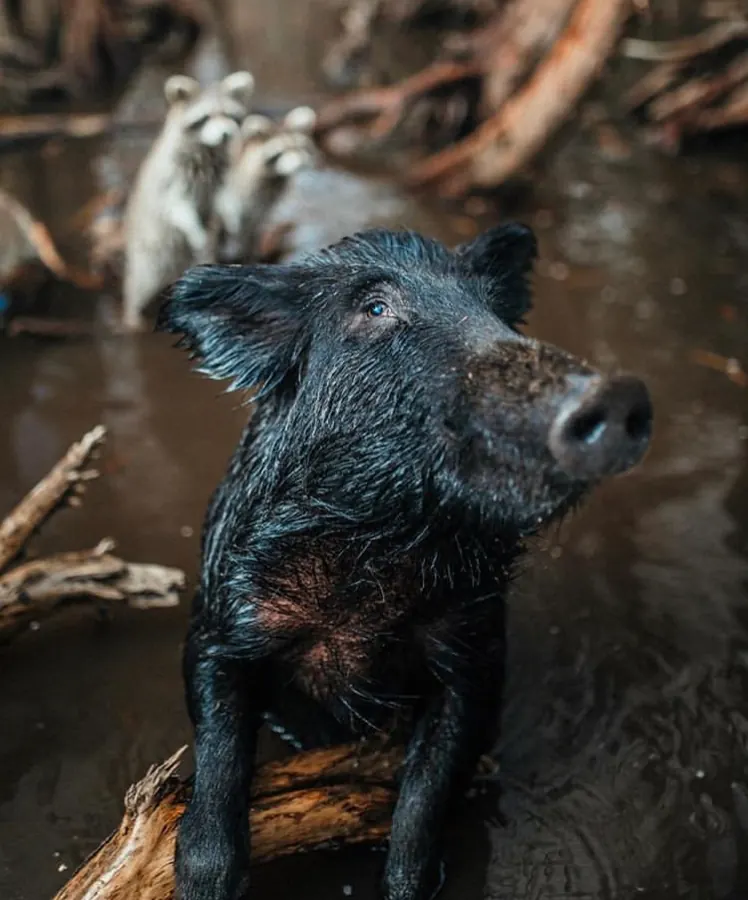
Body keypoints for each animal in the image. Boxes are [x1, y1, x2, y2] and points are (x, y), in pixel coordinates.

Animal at [157, 224, 653, 900]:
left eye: (492, 309)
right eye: (375, 308)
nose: (616, 392)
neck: (385, 546)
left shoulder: (472, 654)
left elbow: (423, 803)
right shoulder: (220, 622)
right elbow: (219, 748)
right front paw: (201, 883)